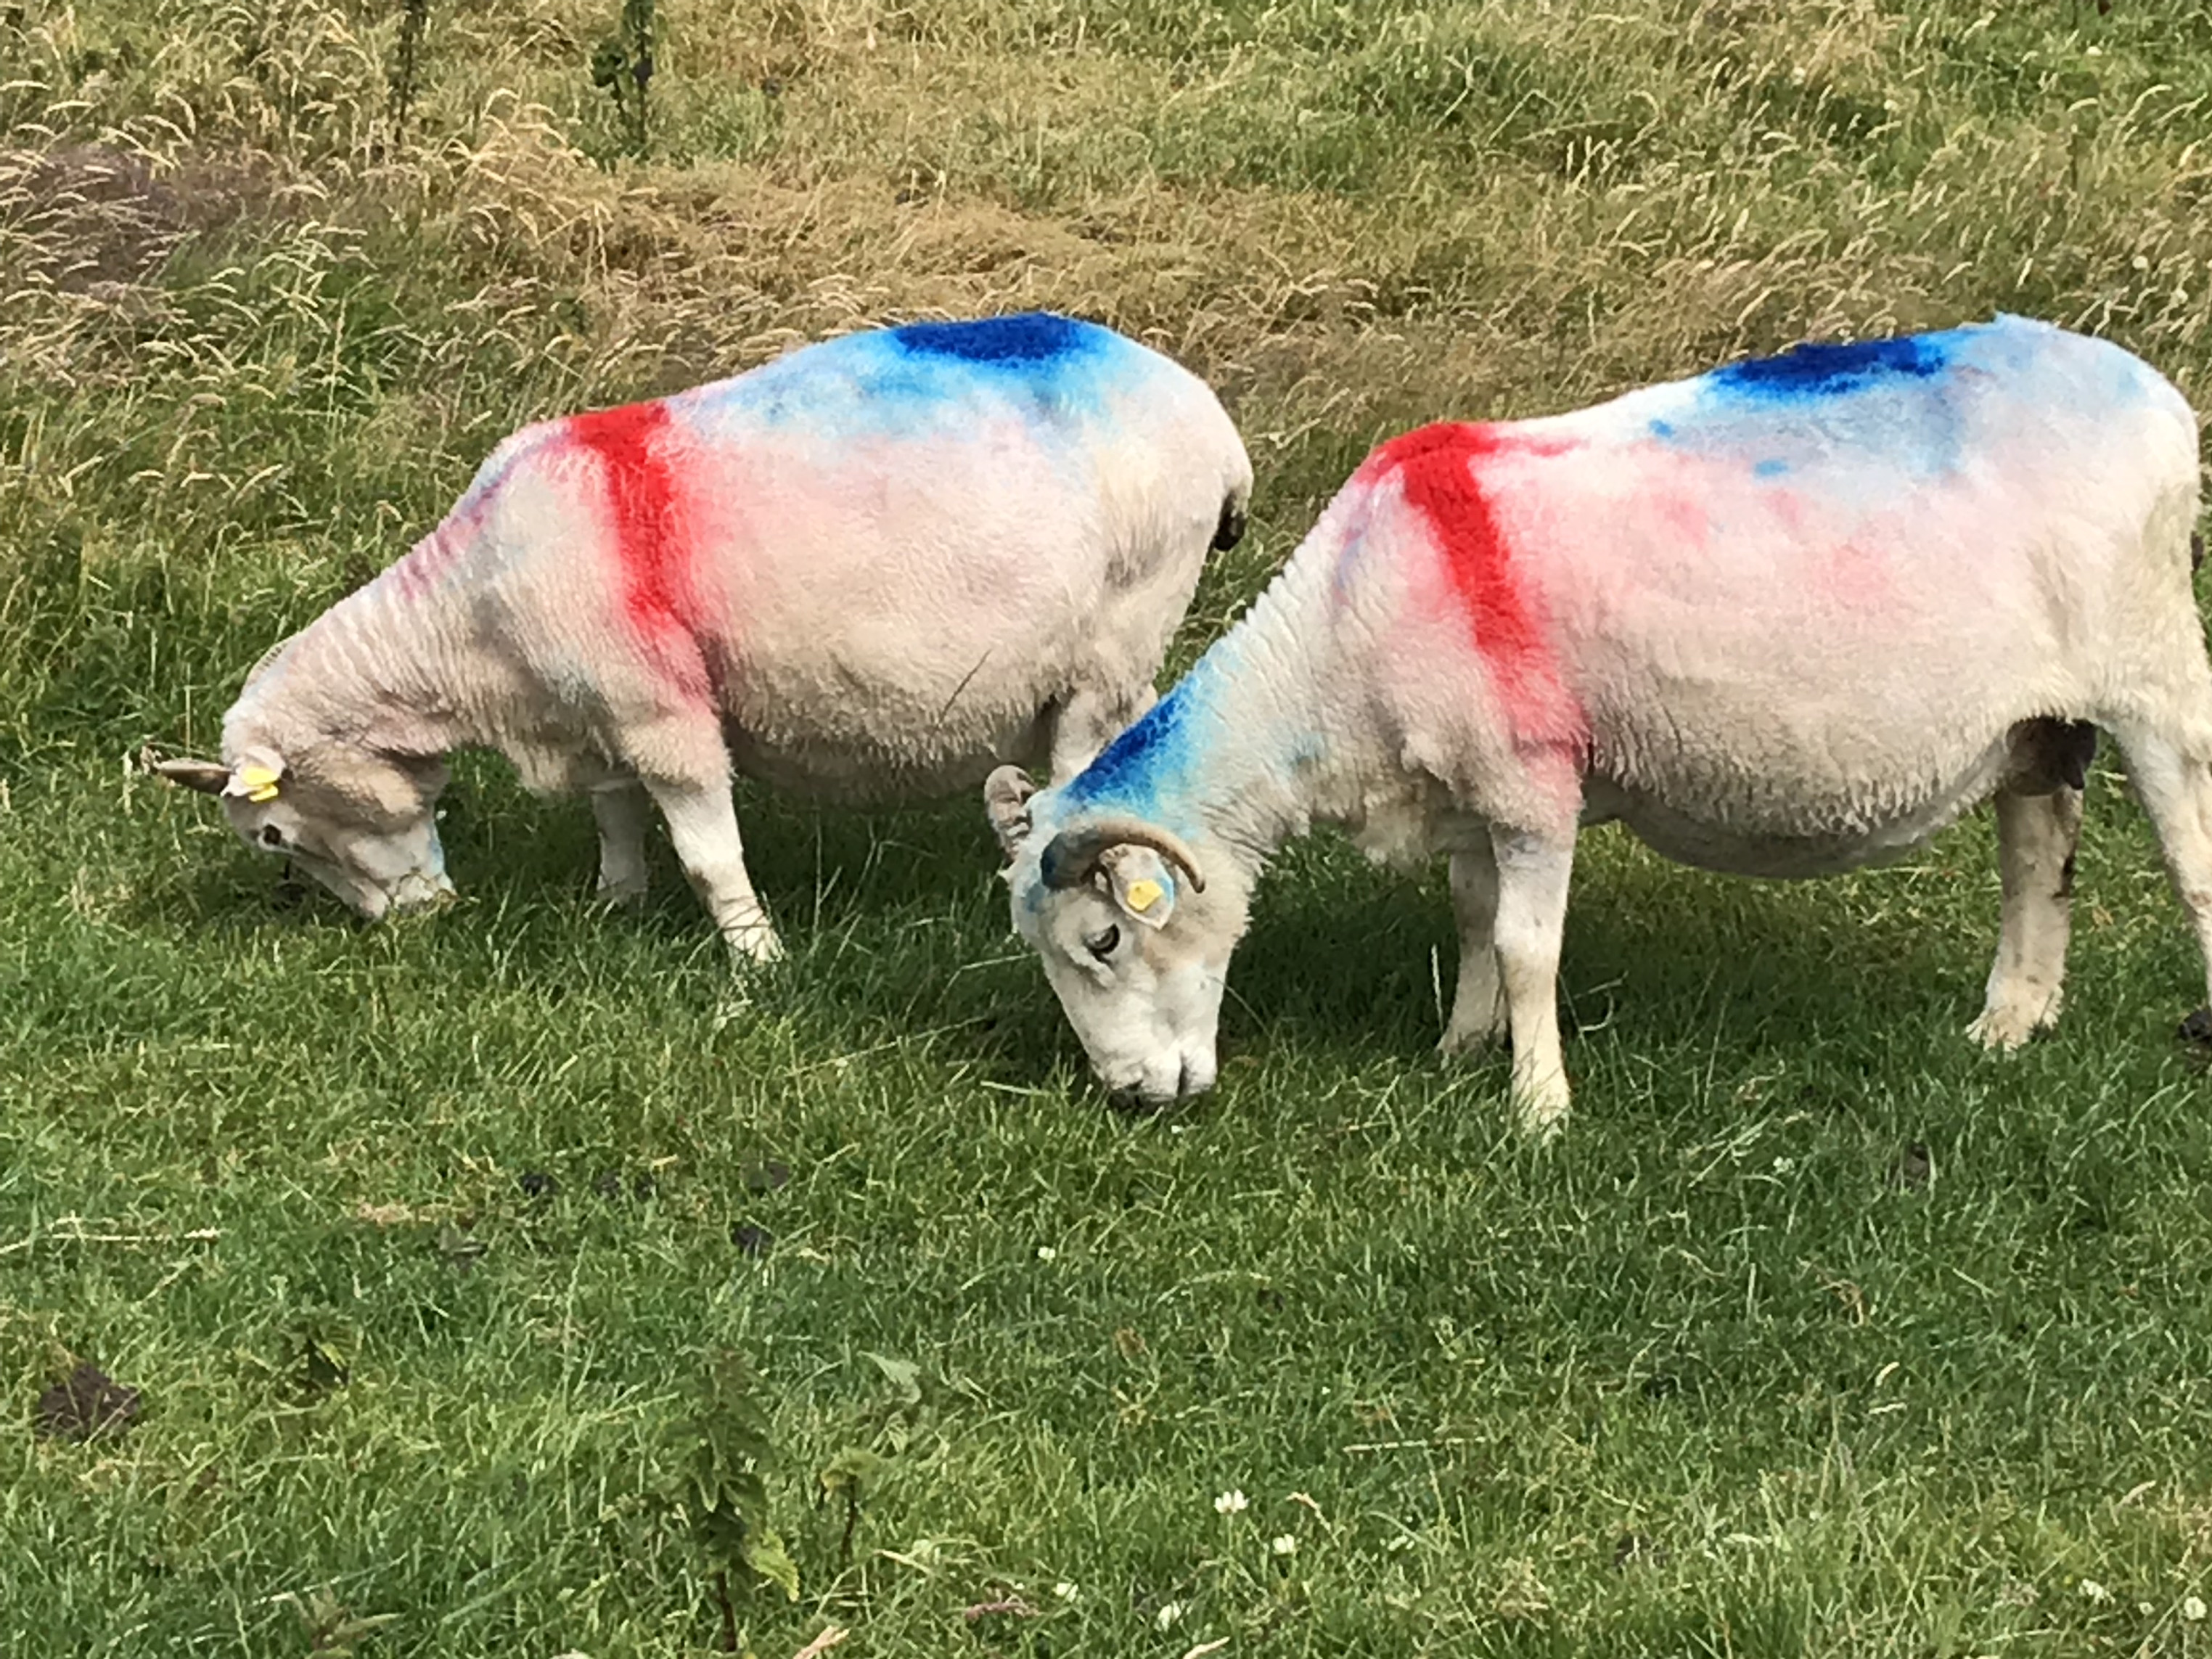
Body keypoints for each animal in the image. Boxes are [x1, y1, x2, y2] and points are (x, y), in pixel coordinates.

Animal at [154, 312, 1253, 956]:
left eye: (272, 834)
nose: (408, 927)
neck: (469, 638)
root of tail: (1219, 432)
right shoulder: (597, 707)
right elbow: (613, 812)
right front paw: (618, 902)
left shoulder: (661, 709)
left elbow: (710, 853)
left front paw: (754, 960)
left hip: (1117, 640)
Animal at [985, 314, 2207, 1134]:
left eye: (1103, 939)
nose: (1134, 1096)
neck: (1336, 653)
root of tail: (2156, 396)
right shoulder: (1468, 783)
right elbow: (1476, 917)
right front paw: (1460, 1045)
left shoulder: (1534, 776)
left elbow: (1531, 945)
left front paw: (1539, 1106)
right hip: (2039, 718)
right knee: (2038, 850)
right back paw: (2011, 1023)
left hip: (2154, 671)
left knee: (2189, 853)